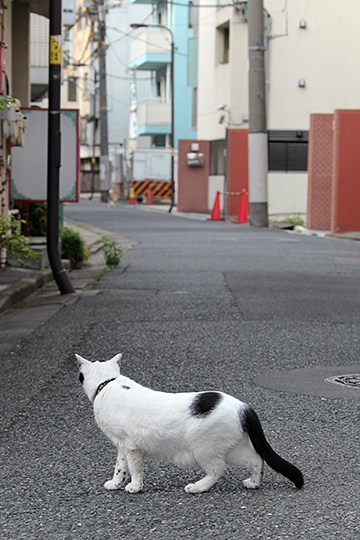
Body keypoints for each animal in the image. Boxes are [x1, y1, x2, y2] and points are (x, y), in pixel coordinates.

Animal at [76, 352, 304, 496]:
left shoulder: (130, 446)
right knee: (257, 459)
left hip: (204, 449)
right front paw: (116, 483)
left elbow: (133, 468)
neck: (108, 384)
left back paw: (196, 488)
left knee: (217, 471)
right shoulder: (122, 445)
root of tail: (244, 406)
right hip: (231, 449)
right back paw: (254, 483)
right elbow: (120, 466)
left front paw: (135, 486)